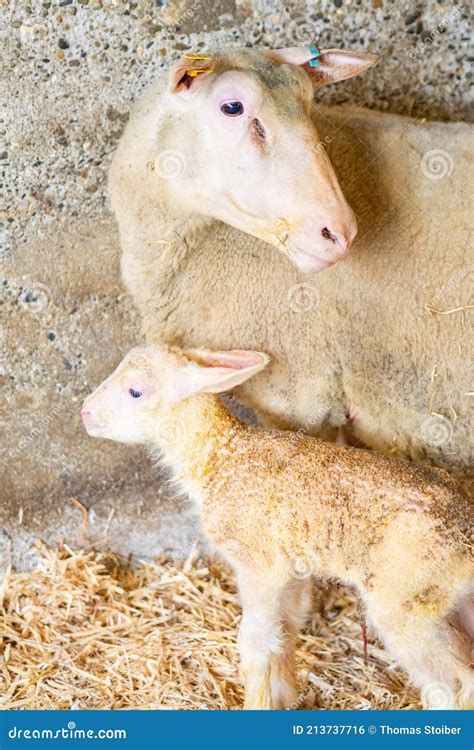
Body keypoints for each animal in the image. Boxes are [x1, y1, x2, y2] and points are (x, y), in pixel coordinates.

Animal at [81, 346, 474, 712]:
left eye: (135, 391)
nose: (85, 413)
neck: (221, 457)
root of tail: (466, 534)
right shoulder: (291, 570)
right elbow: (285, 629)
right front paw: (282, 697)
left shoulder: (258, 564)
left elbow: (256, 642)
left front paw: (257, 703)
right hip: (451, 601)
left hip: (405, 602)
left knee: (451, 682)